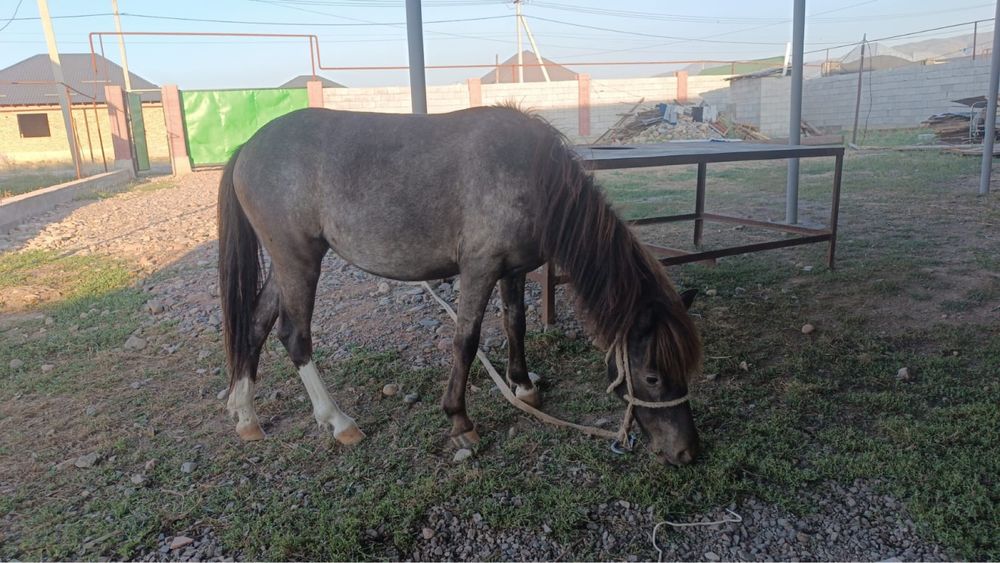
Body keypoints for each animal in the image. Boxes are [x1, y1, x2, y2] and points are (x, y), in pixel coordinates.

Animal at [218, 106, 703, 465]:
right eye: (652, 376)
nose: (686, 452)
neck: (530, 174)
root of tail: (247, 147)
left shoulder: (512, 269)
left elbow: (515, 324)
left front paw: (524, 387)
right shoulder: (479, 268)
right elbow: (466, 340)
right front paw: (459, 421)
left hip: (287, 265)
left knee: (256, 325)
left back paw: (245, 416)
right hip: (298, 261)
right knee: (294, 336)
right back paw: (338, 422)